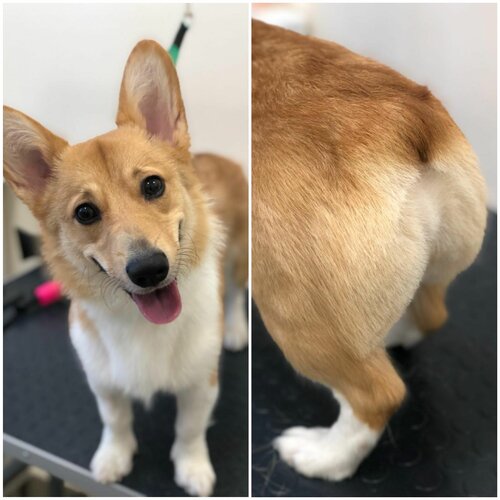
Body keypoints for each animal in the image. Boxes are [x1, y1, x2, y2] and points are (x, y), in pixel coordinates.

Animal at [3, 40, 248, 496]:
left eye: (153, 185)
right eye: (85, 212)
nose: (149, 269)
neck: (141, 323)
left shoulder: (200, 385)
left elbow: (189, 429)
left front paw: (192, 469)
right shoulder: (103, 381)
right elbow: (115, 421)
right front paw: (113, 457)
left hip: (241, 258)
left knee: (238, 293)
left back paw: (237, 328)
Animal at [252, 20, 486, 481]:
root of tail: (410, 121)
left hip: (299, 323)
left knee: (375, 397)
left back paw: (322, 456)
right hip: (433, 270)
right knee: (429, 316)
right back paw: (393, 336)